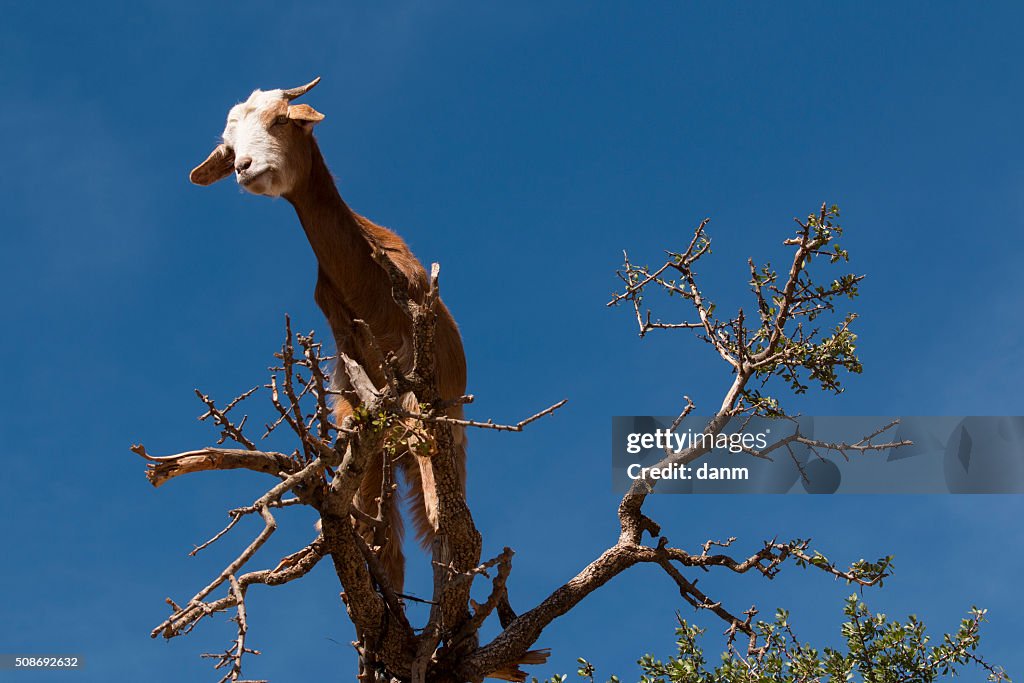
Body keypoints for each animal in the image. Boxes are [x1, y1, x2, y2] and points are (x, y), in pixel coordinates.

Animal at [189, 76, 468, 593]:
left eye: (281, 120)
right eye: (229, 146)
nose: (243, 167)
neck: (370, 283)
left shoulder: (421, 387)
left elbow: (435, 498)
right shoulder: (352, 382)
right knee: (387, 540)